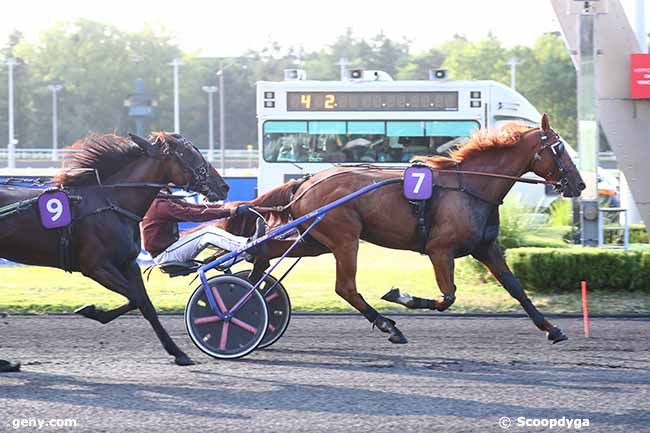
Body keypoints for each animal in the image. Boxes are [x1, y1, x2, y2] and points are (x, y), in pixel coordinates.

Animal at [0, 132, 228, 368]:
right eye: (189, 154)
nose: (223, 186)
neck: (112, 203)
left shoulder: (128, 264)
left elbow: (146, 304)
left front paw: (178, 352)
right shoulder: (96, 267)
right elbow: (136, 298)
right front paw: (92, 311)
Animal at [223, 114, 584, 344]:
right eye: (559, 148)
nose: (579, 184)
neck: (470, 186)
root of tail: (308, 181)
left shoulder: (485, 248)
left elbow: (515, 288)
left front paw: (552, 328)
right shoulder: (440, 250)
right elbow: (447, 297)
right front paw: (400, 296)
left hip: (315, 239)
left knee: (266, 251)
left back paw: (251, 289)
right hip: (344, 238)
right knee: (346, 287)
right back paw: (387, 325)